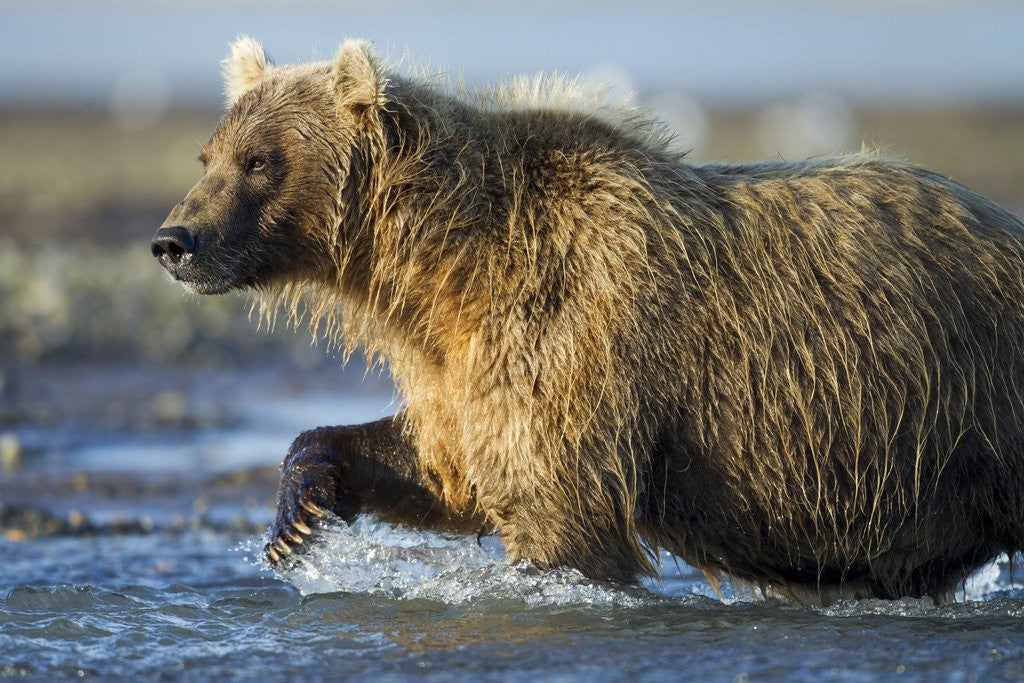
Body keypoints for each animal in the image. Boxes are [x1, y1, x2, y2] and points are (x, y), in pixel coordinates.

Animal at [152, 36, 1024, 602]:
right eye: (210, 154)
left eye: (260, 160)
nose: (175, 240)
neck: (441, 267)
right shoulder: (461, 359)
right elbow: (446, 464)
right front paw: (296, 516)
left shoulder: (571, 328)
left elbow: (558, 508)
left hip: (978, 394)